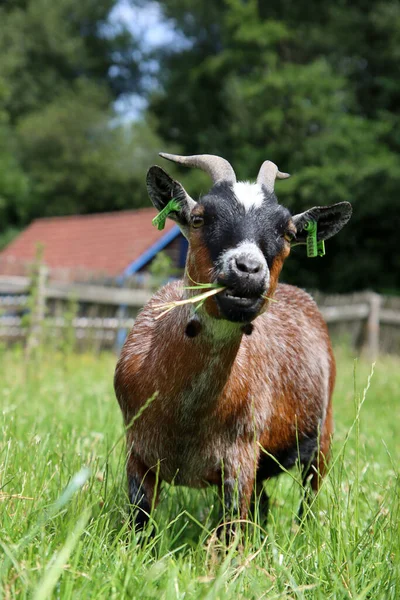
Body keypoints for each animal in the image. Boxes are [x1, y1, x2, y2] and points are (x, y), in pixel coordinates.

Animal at [114, 154, 352, 528]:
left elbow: (232, 529)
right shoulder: (137, 454)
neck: (186, 418)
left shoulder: (240, 457)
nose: (248, 269)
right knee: (264, 502)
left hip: (322, 436)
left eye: (288, 233)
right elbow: (139, 522)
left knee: (308, 498)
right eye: (199, 218)